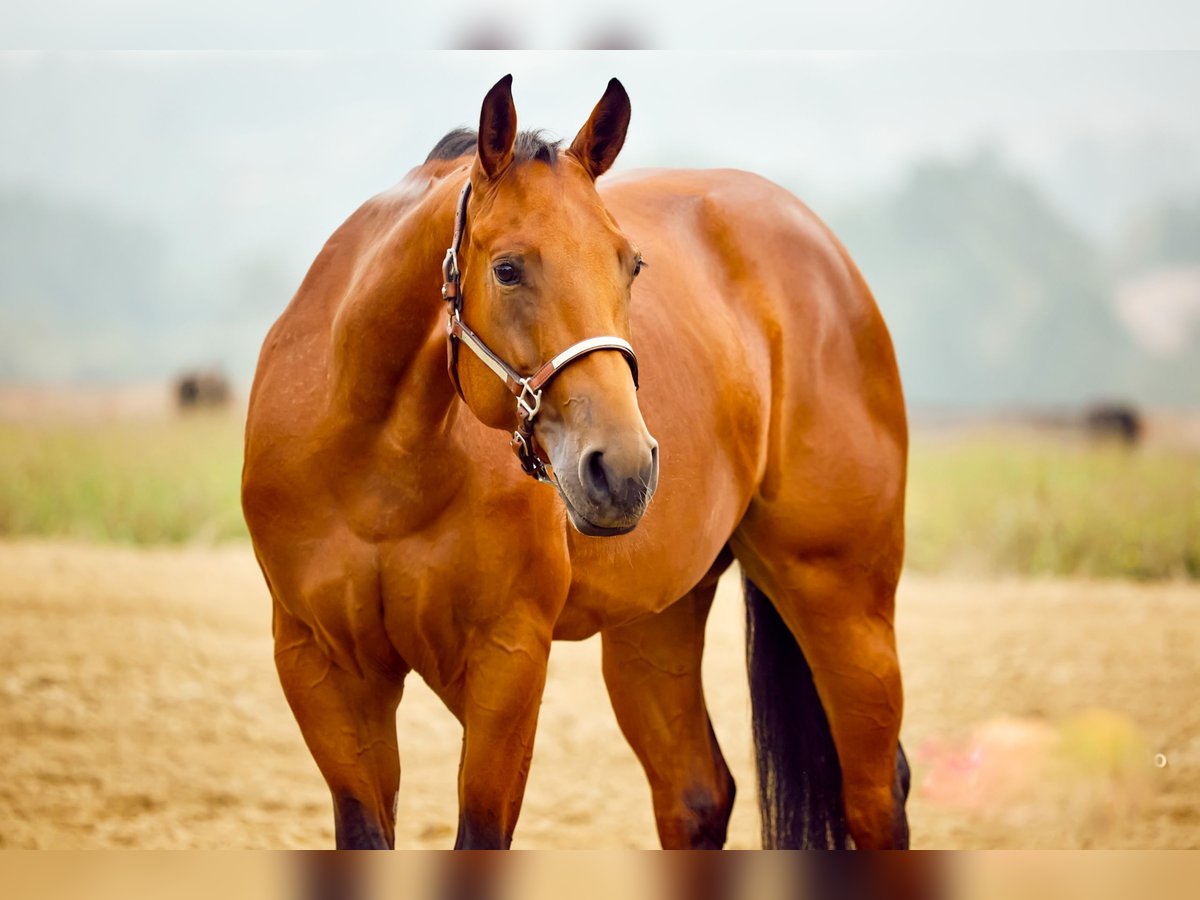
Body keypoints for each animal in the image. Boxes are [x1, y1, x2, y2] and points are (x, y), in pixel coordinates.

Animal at [248, 74, 912, 849]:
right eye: (507, 269)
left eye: (632, 265)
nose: (624, 470)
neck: (379, 471)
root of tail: (828, 255)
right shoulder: (322, 668)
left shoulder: (507, 661)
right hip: (656, 622)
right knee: (696, 795)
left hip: (841, 599)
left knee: (874, 795)